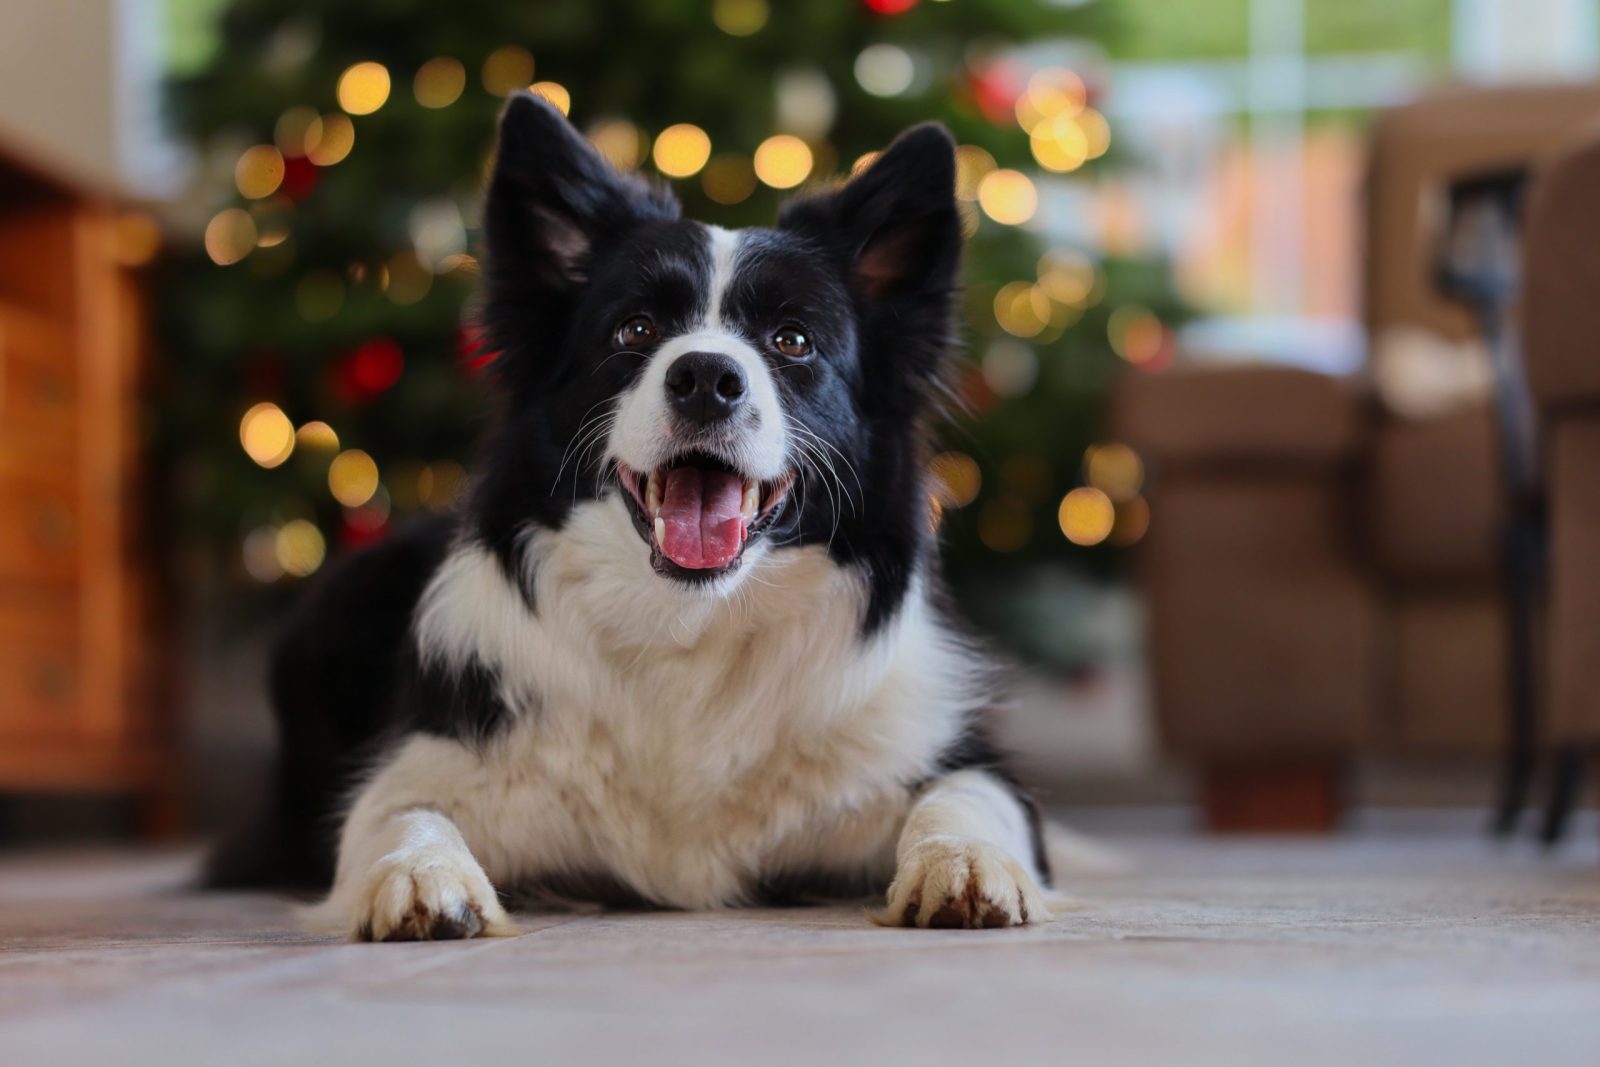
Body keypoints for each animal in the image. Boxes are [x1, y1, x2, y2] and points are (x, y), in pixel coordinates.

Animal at [216, 93, 1062, 940]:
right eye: (636, 330)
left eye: (793, 340)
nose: (707, 378)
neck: (688, 628)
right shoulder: (425, 764)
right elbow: (400, 814)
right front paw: (422, 877)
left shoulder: (949, 762)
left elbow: (966, 798)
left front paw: (963, 863)